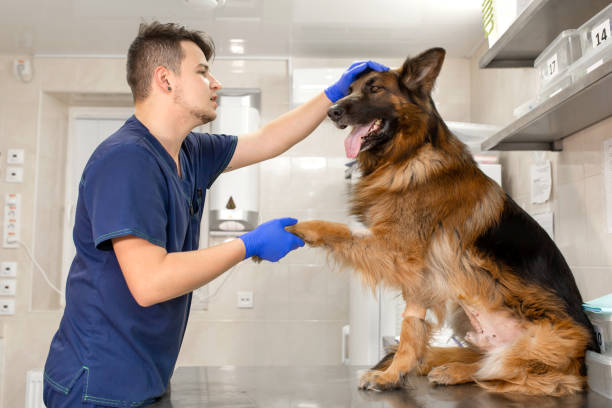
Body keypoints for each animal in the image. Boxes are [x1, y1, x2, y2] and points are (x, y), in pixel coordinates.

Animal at [286, 47, 596, 396]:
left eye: (374, 88)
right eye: (348, 89)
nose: (332, 111)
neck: (406, 157)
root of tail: (582, 365)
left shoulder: (398, 253)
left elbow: (339, 230)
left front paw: (297, 227)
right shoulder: (419, 276)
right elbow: (412, 326)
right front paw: (393, 373)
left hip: (537, 343)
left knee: (500, 369)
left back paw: (457, 370)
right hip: (463, 313)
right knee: (482, 357)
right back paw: (448, 366)